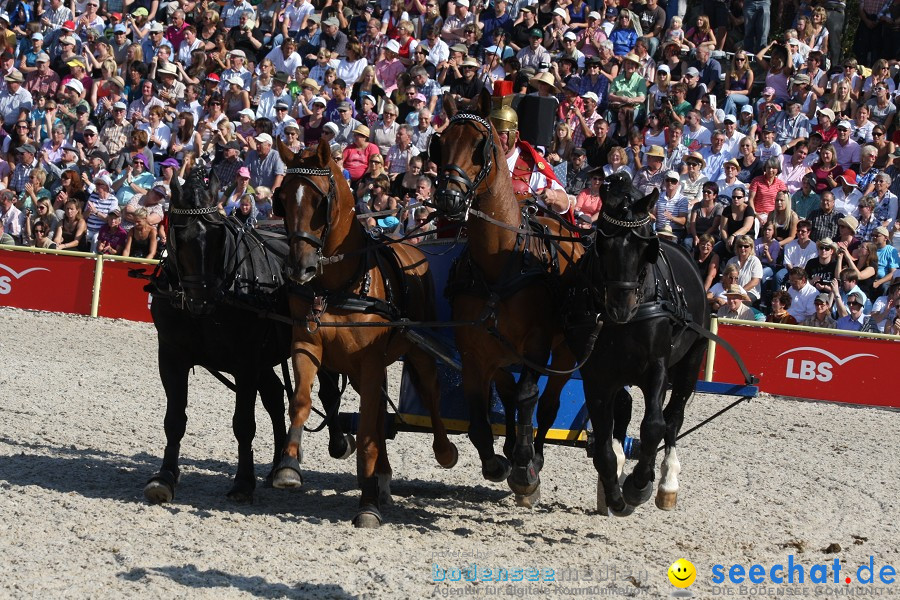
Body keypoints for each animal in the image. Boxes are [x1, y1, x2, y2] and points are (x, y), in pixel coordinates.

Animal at [144, 166, 352, 504]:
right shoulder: (172, 356)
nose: (202, 298)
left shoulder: (245, 362)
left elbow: (243, 424)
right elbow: (174, 420)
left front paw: (242, 482)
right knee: (275, 396)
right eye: (179, 234)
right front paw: (164, 477)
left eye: (219, 236)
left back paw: (336, 444)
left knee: (327, 392)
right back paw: (280, 463)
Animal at [270, 139, 458, 524]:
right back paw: (382, 476)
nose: (300, 268)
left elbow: (370, 430)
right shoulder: (307, 344)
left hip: (417, 351)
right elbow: (301, 401)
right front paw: (289, 465)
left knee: (429, 394)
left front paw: (368, 504)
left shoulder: (370, 361)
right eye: (283, 199)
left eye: (321, 202)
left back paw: (444, 451)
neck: (336, 286)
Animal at [428, 91, 592, 504]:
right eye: (441, 144)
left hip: (565, 349)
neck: (499, 263)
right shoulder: (472, 350)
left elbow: (529, 396)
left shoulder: (536, 344)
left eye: (480, 147)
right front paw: (495, 462)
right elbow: (478, 413)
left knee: (545, 404)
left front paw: (523, 468)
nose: (448, 197)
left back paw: (534, 455)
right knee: (507, 386)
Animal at [580, 172, 712, 516]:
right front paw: (614, 493)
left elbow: (654, 426)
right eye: (603, 243)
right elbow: (603, 441)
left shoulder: (657, 369)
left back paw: (666, 481)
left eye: (644, 246)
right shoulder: (596, 377)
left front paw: (638, 486)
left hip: (690, 361)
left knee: (673, 418)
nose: (620, 307)